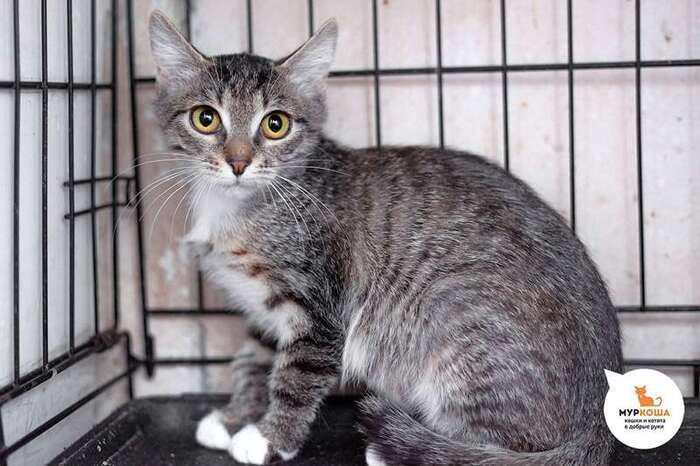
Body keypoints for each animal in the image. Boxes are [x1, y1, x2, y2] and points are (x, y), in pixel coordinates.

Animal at [148, 10, 623, 466]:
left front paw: (269, 439)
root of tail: (597, 421)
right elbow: (253, 357)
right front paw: (234, 416)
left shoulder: (320, 307)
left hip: (455, 320)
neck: (240, 208)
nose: (239, 162)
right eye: (206, 118)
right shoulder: (263, 310)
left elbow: (295, 376)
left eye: (276, 124)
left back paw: (404, 449)